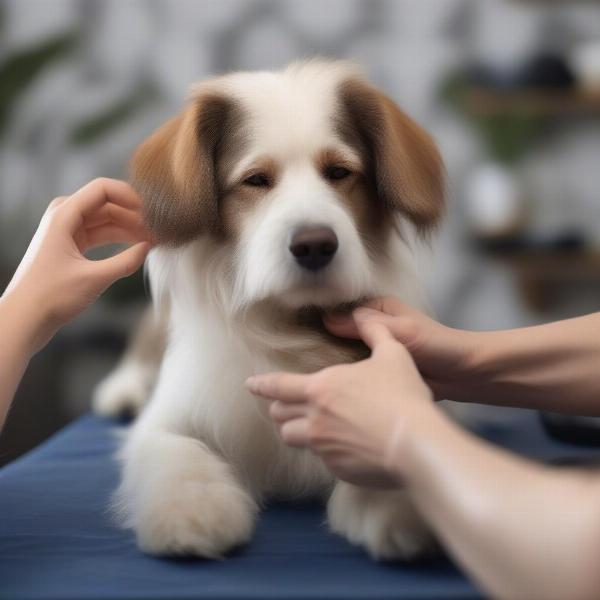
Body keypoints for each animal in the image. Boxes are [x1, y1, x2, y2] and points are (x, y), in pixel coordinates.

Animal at [92, 58, 446, 560]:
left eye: (339, 172)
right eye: (256, 180)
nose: (315, 245)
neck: (287, 320)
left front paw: (398, 505)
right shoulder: (169, 417)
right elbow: (178, 452)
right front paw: (192, 511)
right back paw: (121, 389)